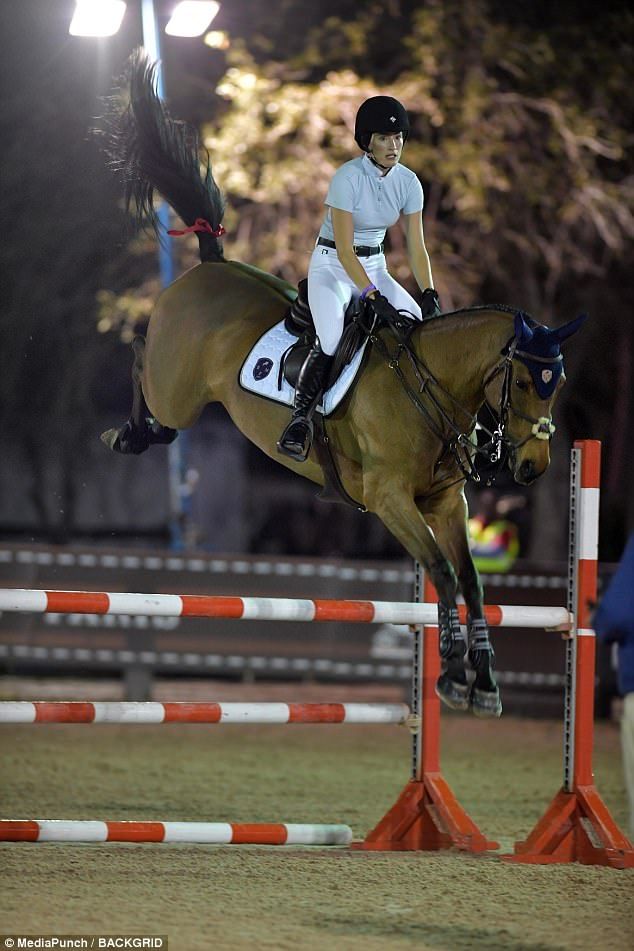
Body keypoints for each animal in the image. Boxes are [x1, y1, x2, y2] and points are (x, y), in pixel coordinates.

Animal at [102, 55, 584, 716]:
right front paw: (451, 674)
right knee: (138, 365)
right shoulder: (388, 498)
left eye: (555, 386)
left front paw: (482, 681)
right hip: (175, 391)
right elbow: (442, 573)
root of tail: (210, 264)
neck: (429, 388)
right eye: (528, 383)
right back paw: (126, 433)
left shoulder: (444, 503)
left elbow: (471, 581)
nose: (534, 468)